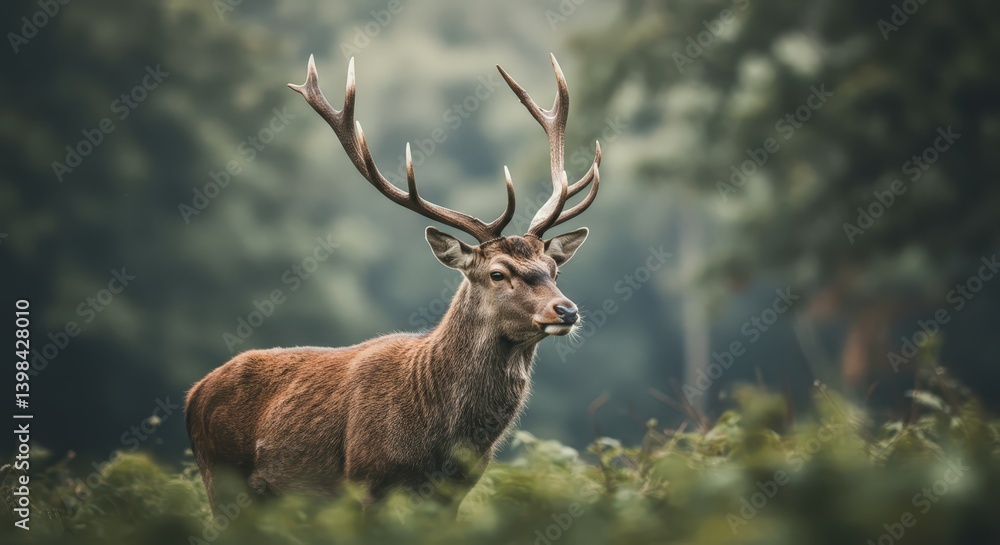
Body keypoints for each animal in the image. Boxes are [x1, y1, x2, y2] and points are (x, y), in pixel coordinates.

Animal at [185, 53, 602, 513]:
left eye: (553, 269)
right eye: (497, 273)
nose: (566, 310)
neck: (437, 438)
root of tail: (193, 394)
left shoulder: (455, 494)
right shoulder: (365, 482)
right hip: (221, 479)